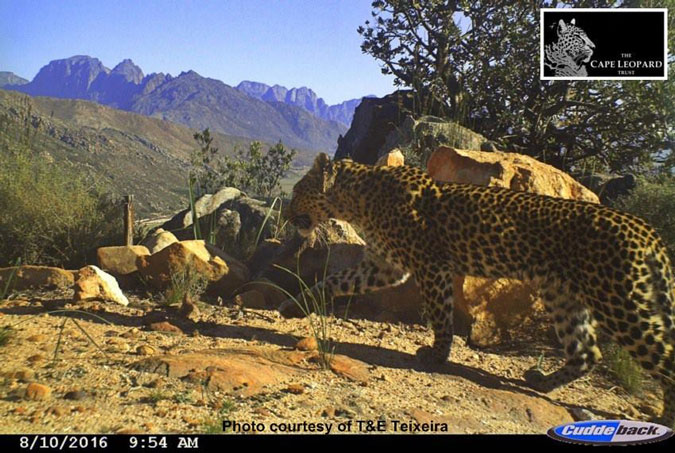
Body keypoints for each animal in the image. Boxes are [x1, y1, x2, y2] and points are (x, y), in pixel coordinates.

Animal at [282, 152, 675, 424]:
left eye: (298, 191)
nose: (286, 215)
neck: (360, 201)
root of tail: (647, 231)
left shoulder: (431, 267)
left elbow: (441, 316)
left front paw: (437, 355)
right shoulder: (385, 266)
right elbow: (336, 280)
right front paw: (297, 304)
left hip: (622, 303)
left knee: (663, 357)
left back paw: (663, 416)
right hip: (564, 296)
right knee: (586, 351)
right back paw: (542, 382)